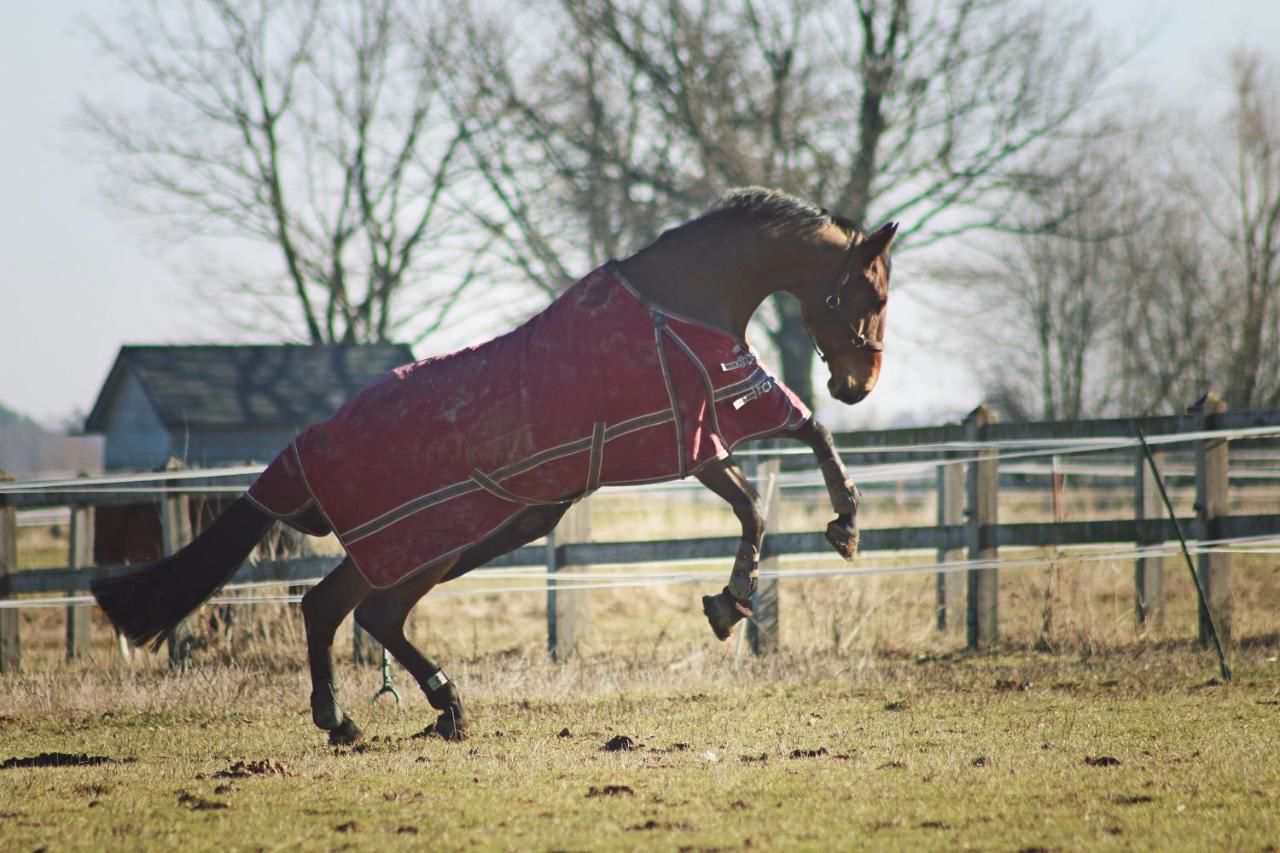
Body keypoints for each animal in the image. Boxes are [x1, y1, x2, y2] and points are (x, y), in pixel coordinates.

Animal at [90, 184, 896, 737]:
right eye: (870, 290)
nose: (858, 385)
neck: (675, 303)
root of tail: (301, 449)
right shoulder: (693, 436)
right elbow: (759, 500)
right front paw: (737, 597)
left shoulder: (720, 410)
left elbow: (809, 434)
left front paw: (834, 533)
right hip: (433, 541)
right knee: (372, 614)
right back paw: (443, 705)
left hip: (421, 544)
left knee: (329, 606)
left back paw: (348, 720)